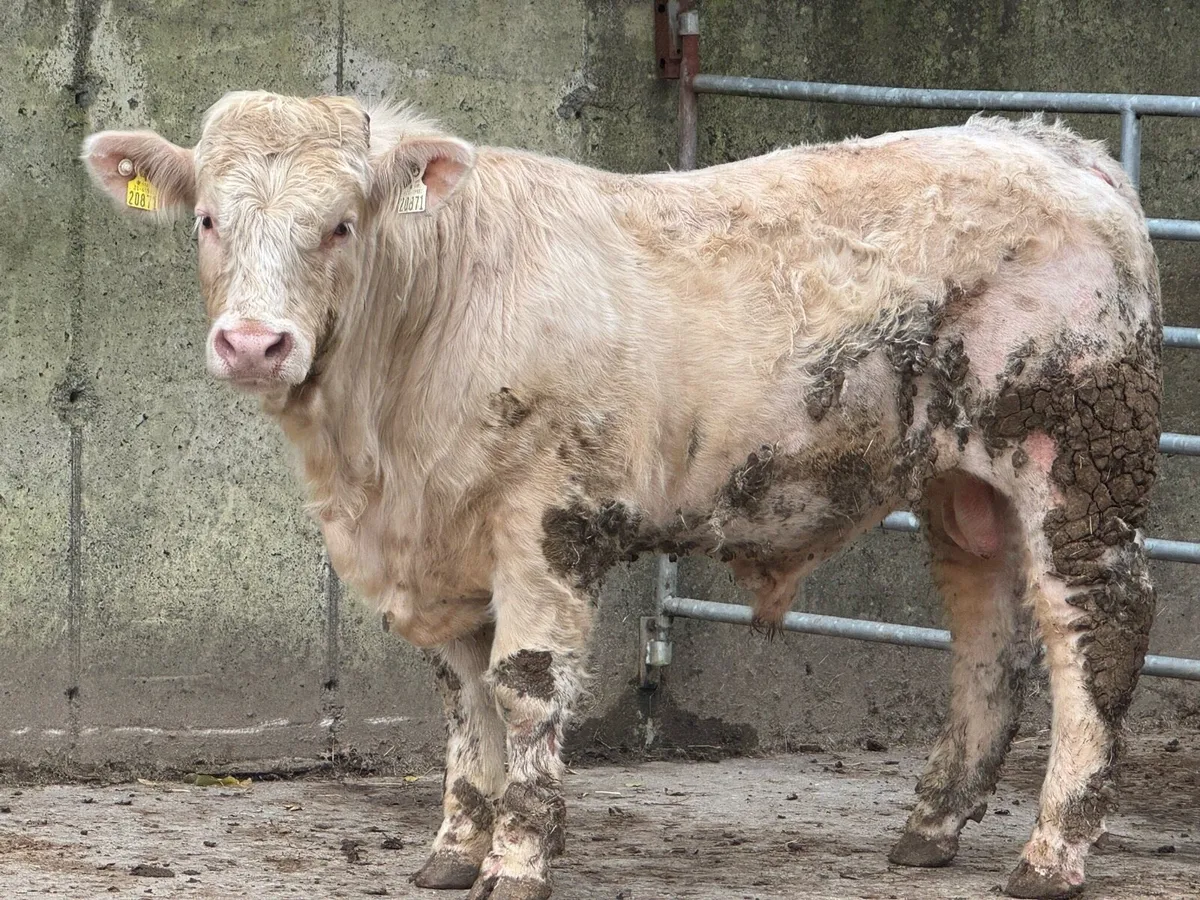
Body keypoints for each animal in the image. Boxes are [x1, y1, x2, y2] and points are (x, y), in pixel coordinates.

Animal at [82, 92, 1161, 900]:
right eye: (209, 219)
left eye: (340, 224)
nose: (254, 343)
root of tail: (1047, 143)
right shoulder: (442, 546)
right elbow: (462, 695)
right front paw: (453, 849)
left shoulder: (544, 523)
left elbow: (521, 689)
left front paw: (519, 859)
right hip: (962, 482)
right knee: (988, 630)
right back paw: (932, 825)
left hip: (1077, 458)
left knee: (1094, 626)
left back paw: (1053, 851)